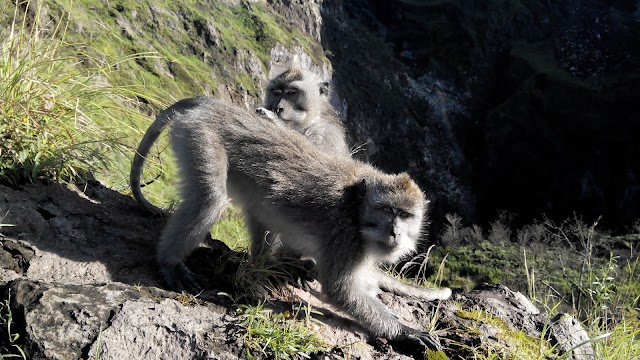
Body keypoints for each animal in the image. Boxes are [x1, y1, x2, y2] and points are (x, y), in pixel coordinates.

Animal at [130, 96, 450, 352]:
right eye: (386, 210)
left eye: (406, 215)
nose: (395, 232)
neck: (357, 210)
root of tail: (213, 105)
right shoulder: (344, 235)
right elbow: (341, 290)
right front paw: (405, 332)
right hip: (202, 136)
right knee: (210, 198)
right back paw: (171, 262)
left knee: (261, 212)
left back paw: (264, 265)